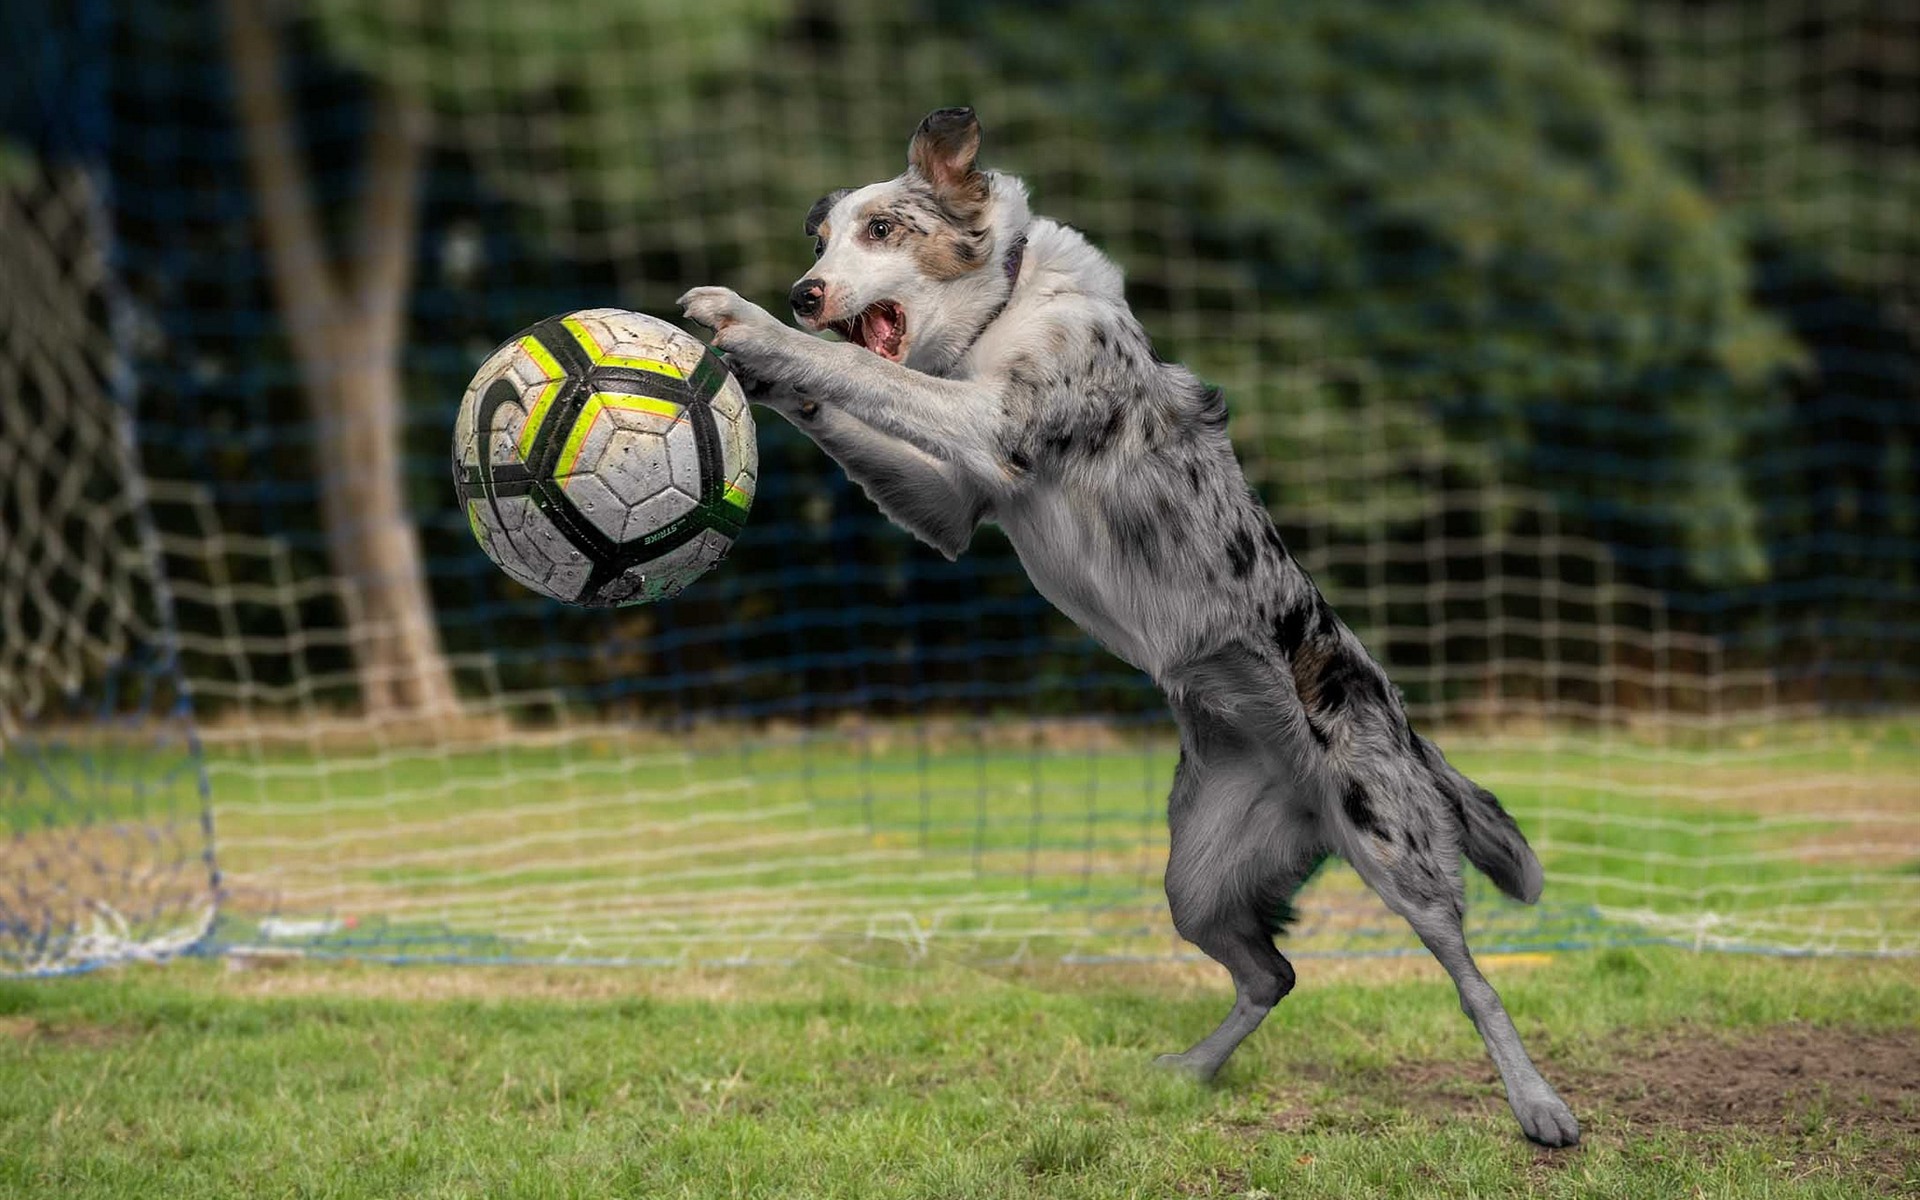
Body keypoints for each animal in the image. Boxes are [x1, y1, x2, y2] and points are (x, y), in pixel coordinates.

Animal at [683, 107, 1582, 1144]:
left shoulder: (991, 423)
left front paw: (742, 320)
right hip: (1197, 877)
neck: (1004, 312)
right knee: (1274, 973)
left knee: (1473, 980)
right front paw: (753, 364)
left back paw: (1539, 1104)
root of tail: (1404, 725)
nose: (803, 291)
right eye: (820, 239)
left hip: (1393, 844)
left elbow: (843, 363)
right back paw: (1190, 1072)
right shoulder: (954, 507)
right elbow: (846, 396)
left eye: (880, 230)